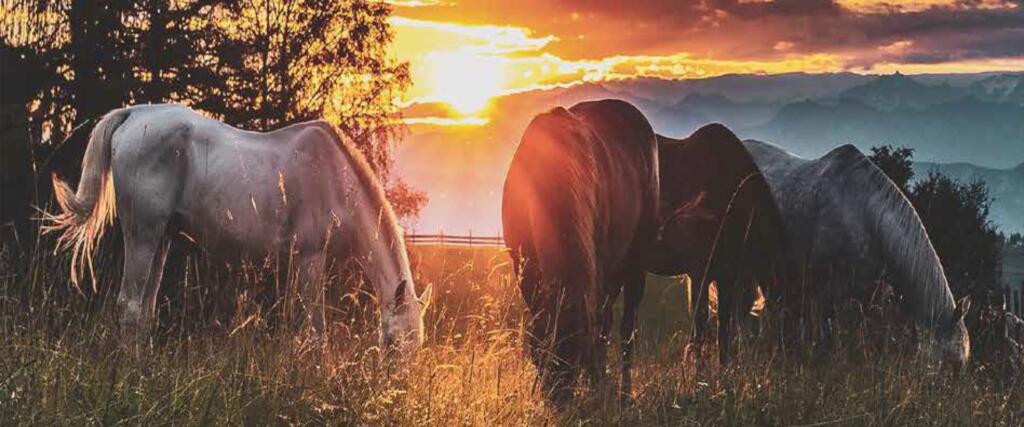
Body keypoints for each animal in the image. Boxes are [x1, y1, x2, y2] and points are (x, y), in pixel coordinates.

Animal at [47, 103, 432, 352]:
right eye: (393, 344)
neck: (336, 178)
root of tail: (133, 115)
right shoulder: (310, 258)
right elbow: (315, 331)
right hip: (142, 235)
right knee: (129, 306)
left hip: (161, 240)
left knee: (144, 310)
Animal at [501, 98, 659, 401]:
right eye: (542, 355)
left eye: (576, 358)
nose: (559, 402)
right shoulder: (524, 268)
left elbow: (601, 331)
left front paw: (597, 382)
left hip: (634, 264)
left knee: (625, 329)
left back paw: (622, 392)